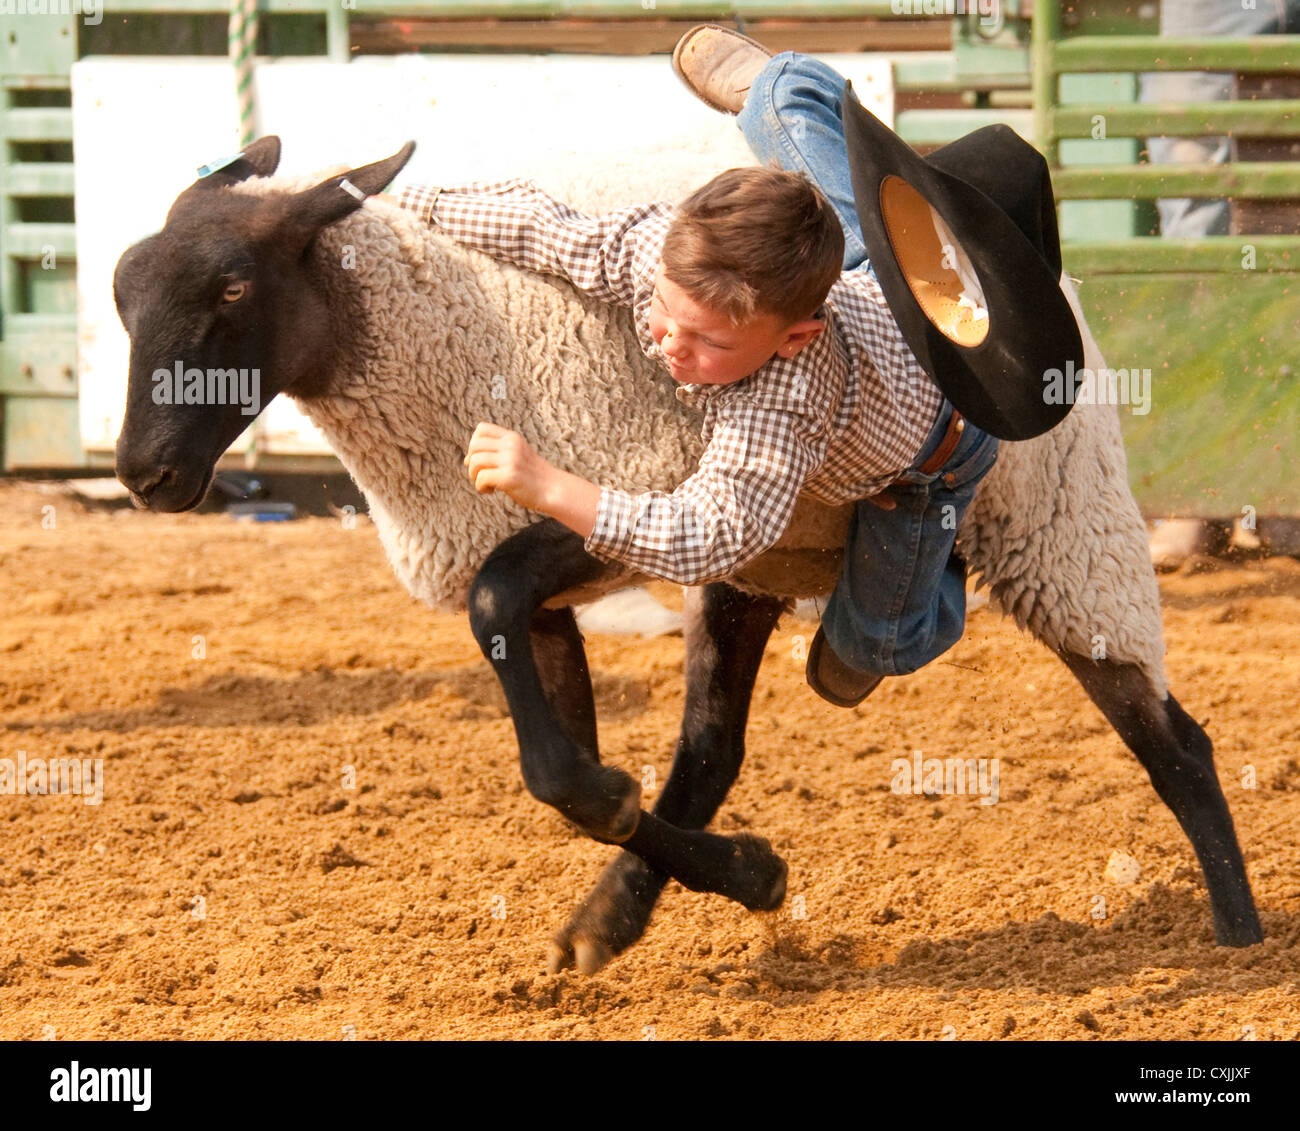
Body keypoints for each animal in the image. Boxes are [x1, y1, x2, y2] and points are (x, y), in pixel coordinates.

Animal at [114, 139, 1258, 972]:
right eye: (122, 296)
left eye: (229, 291)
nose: (143, 471)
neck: (448, 335)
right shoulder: (549, 585)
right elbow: (561, 765)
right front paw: (730, 874)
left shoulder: (622, 500)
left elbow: (501, 619)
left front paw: (710, 859)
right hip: (769, 567)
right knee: (713, 747)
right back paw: (622, 912)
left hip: (1065, 537)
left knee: (1176, 744)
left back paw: (1239, 935)